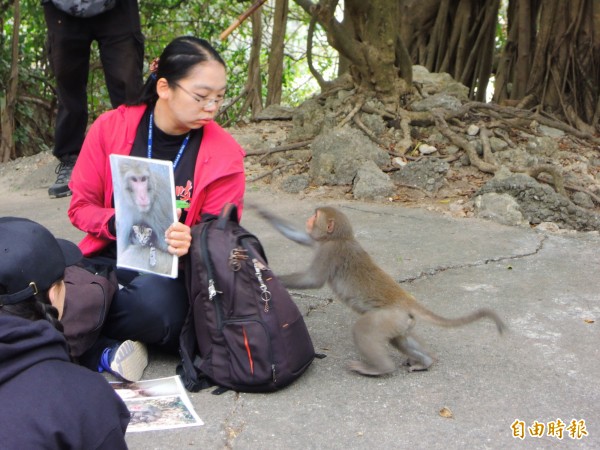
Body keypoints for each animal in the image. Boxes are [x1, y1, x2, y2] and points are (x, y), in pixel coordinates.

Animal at [255, 206, 504, 374]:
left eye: (316, 216)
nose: (309, 218)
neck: (340, 237)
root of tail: (406, 300)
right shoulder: (321, 243)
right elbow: (300, 238)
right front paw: (262, 212)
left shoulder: (330, 251)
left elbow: (312, 280)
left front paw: (268, 273)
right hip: (402, 320)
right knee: (400, 340)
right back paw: (427, 361)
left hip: (387, 317)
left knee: (364, 330)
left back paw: (380, 369)